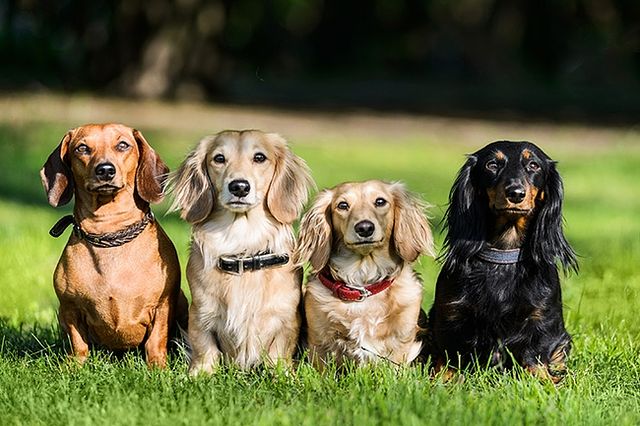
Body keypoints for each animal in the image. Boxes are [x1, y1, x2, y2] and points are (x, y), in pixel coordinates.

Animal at [41, 122, 188, 366]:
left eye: (123, 145)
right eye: (82, 148)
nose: (105, 170)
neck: (110, 233)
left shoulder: (162, 306)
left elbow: (155, 342)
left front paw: (158, 367)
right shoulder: (69, 309)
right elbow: (78, 344)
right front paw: (73, 366)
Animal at [168, 130, 312, 372]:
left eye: (259, 157)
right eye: (219, 158)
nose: (239, 187)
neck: (243, 246)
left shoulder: (285, 318)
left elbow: (278, 354)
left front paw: (282, 374)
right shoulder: (201, 314)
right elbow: (204, 349)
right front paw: (198, 373)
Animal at [296, 181, 436, 370]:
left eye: (380, 201)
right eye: (343, 205)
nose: (364, 228)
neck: (362, 282)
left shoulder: (402, 342)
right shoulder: (319, 343)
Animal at [428, 141, 576, 382]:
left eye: (533, 165)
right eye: (492, 165)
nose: (515, 193)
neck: (503, 255)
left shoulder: (542, 319)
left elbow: (535, 358)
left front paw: (547, 381)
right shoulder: (450, 316)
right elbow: (448, 357)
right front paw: (442, 380)